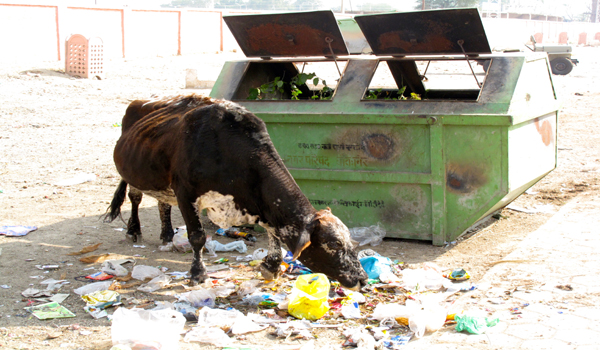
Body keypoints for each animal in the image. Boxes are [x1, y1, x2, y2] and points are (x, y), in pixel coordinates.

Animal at [103, 94, 368, 288]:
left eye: (350, 242)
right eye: (334, 244)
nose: (363, 279)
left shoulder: (260, 205)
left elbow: (274, 232)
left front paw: (271, 266)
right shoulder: (185, 193)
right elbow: (197, 236)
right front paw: (198, 273)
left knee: (162, 203)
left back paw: (167, 234)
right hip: (133, 174)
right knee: (135, 197)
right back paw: (133, 230)